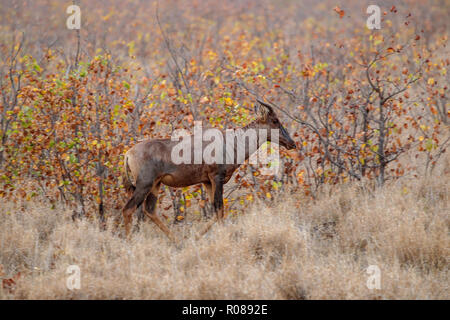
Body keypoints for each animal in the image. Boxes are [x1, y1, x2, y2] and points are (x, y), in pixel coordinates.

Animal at [122, 99, 296, 241]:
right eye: (275, 120)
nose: (292, 143)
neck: (230, 142)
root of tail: (128, 153)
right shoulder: (216, 178)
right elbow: (219, 209)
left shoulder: (207, 182)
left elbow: (215, 212)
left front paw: (196, 237)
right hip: (144, 184)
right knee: (128, 209)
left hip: (155, 185)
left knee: (150, 210)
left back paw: (178, 241)